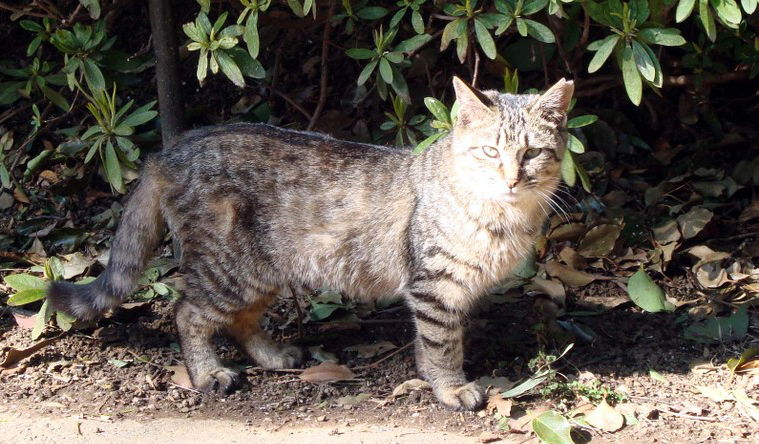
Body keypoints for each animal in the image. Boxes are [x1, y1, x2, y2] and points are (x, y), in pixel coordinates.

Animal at [47, 75, 572, 410]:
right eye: (490, 151)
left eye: (532, 153)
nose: (511, 179)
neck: (502, 217)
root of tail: (168, 151)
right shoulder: (434, 285)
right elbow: (443, 345)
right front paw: (449, 388)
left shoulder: (442, 292)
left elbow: (432, 342)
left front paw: (430, 376)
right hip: (229, 269)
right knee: (188, 314)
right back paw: (207, 374)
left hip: (261, 271)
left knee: (241, 322)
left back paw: (274, 356)